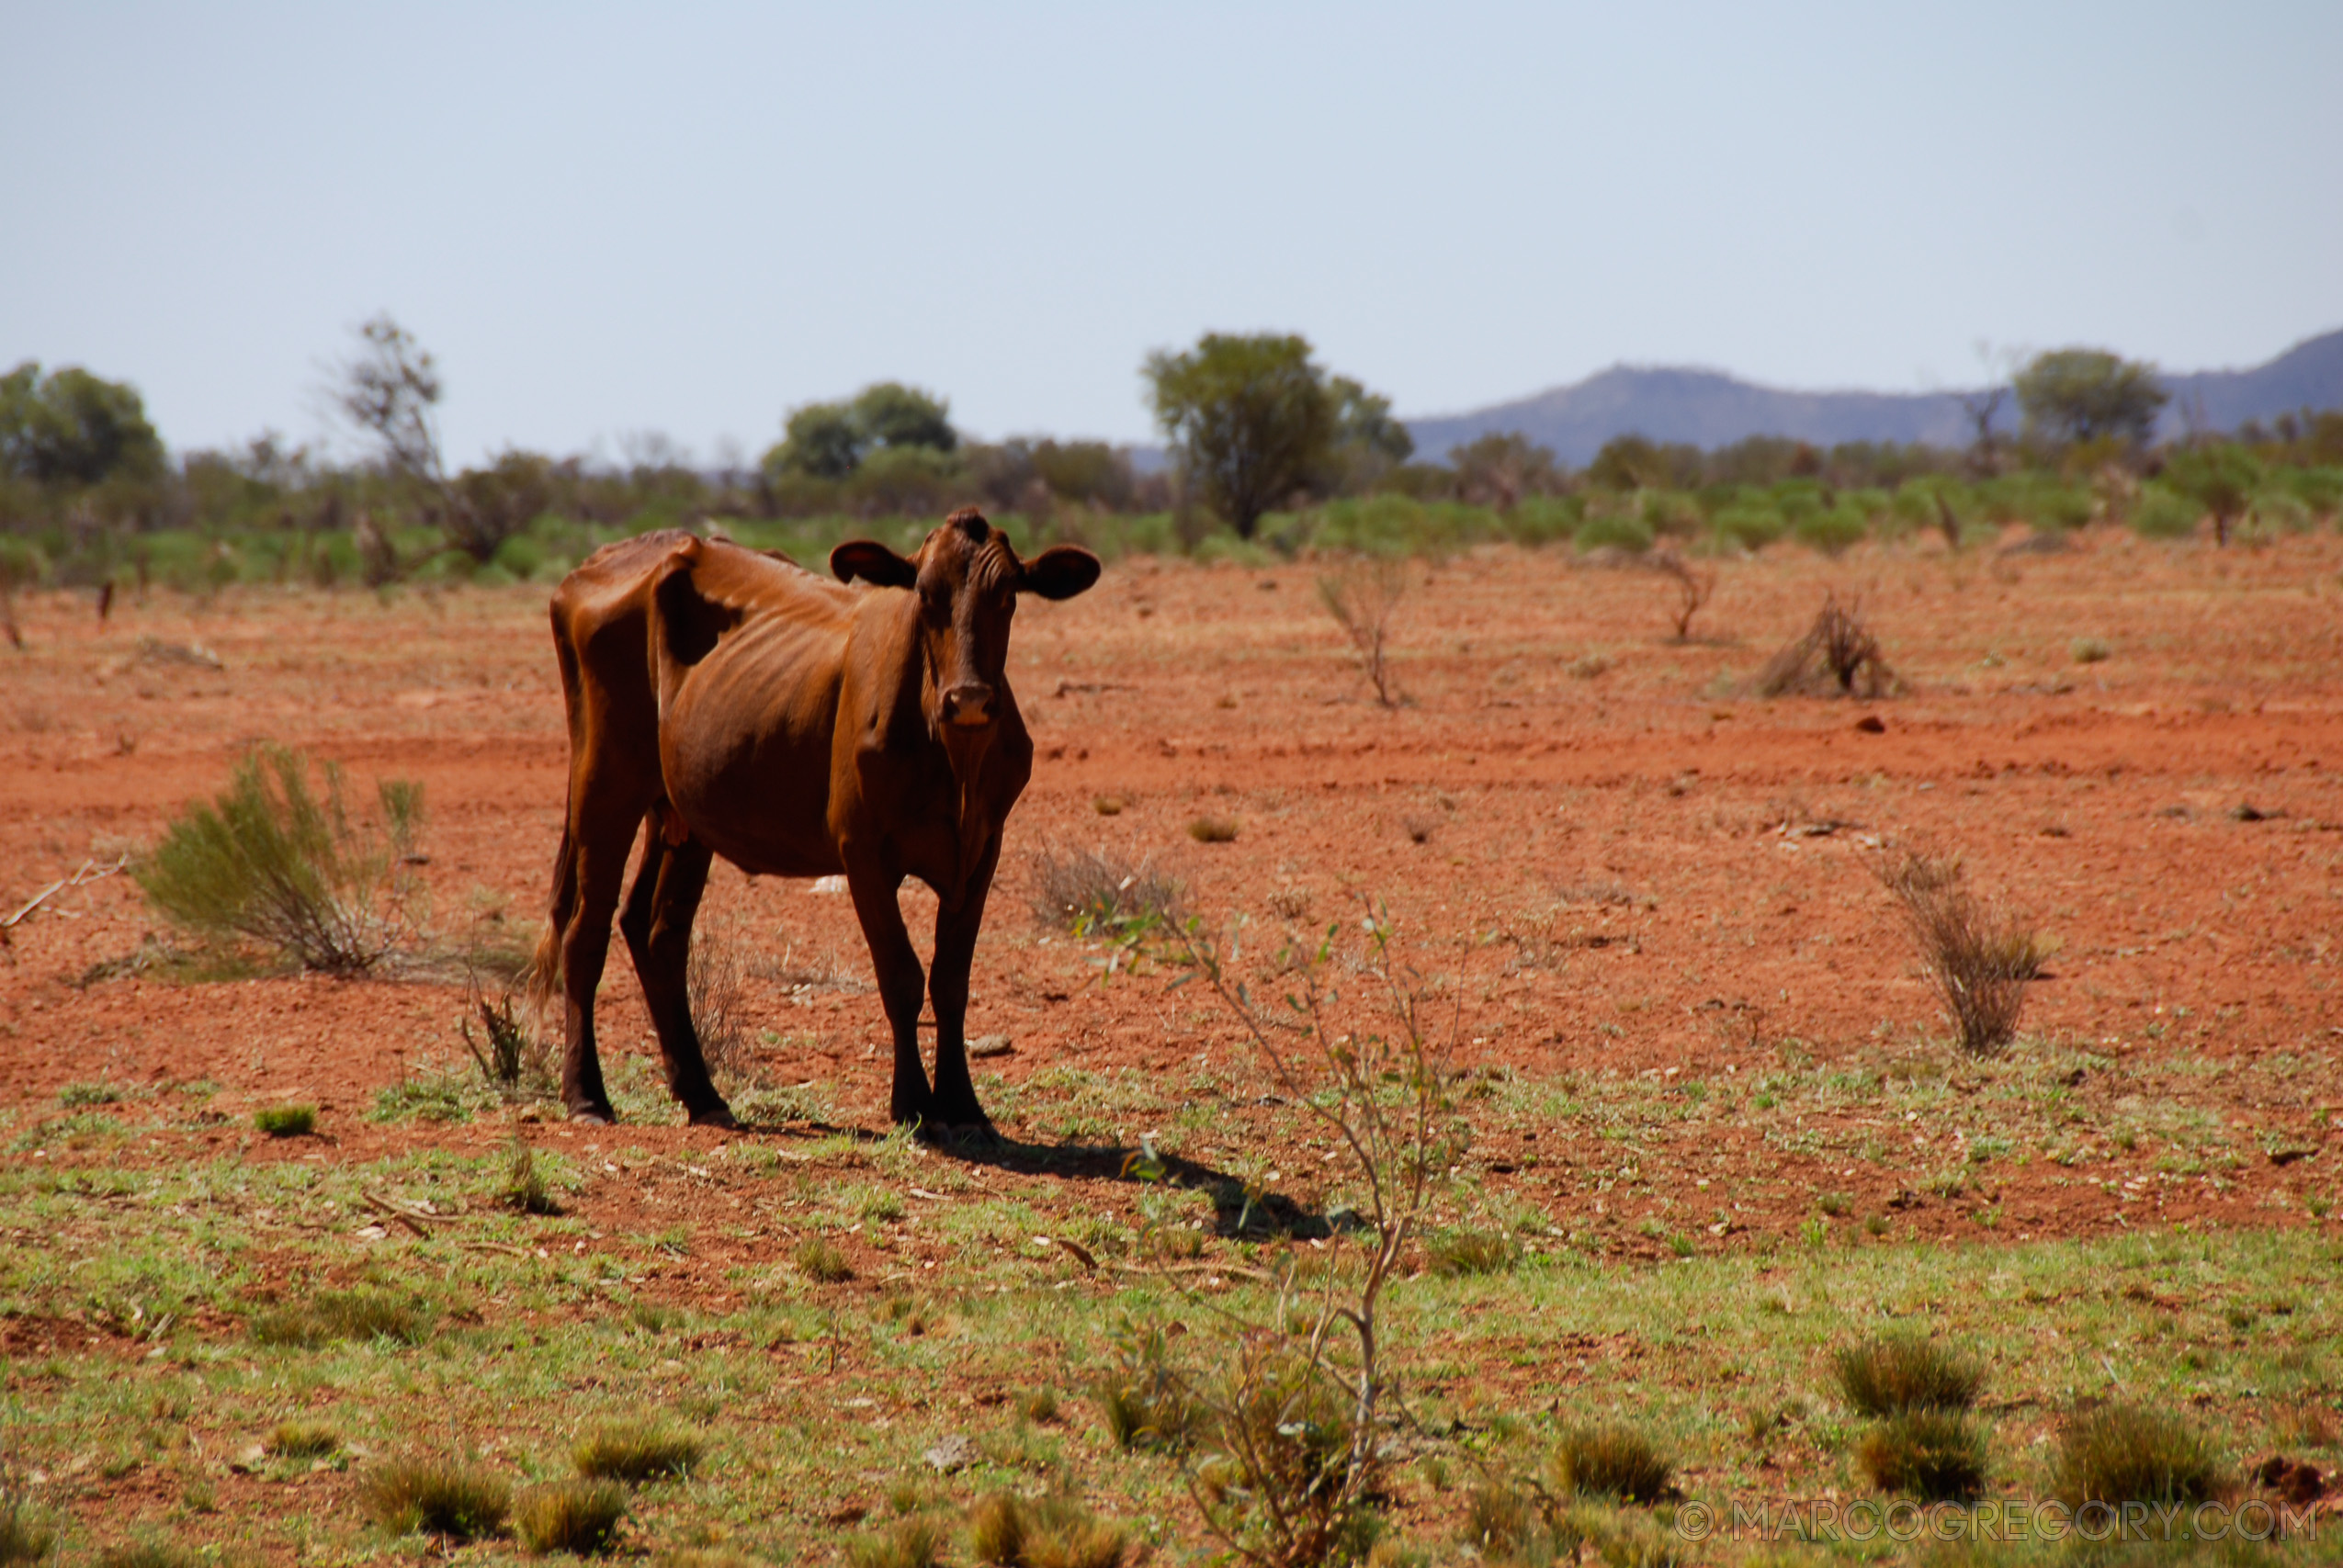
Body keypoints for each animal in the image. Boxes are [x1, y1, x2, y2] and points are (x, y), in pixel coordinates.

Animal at [536, 508, 1101, 1129]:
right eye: (925, 595)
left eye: (1008, 596)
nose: (970, 699)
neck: (956, 763)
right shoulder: (862, 849)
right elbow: (901, 976)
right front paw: (913, 1102)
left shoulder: (983, 849)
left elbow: (952, 980)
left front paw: (963, 1105)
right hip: (604, 780)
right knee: (585, 931)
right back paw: (587, 1095)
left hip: (682, 811)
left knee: (656, 932)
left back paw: (702, 1094)